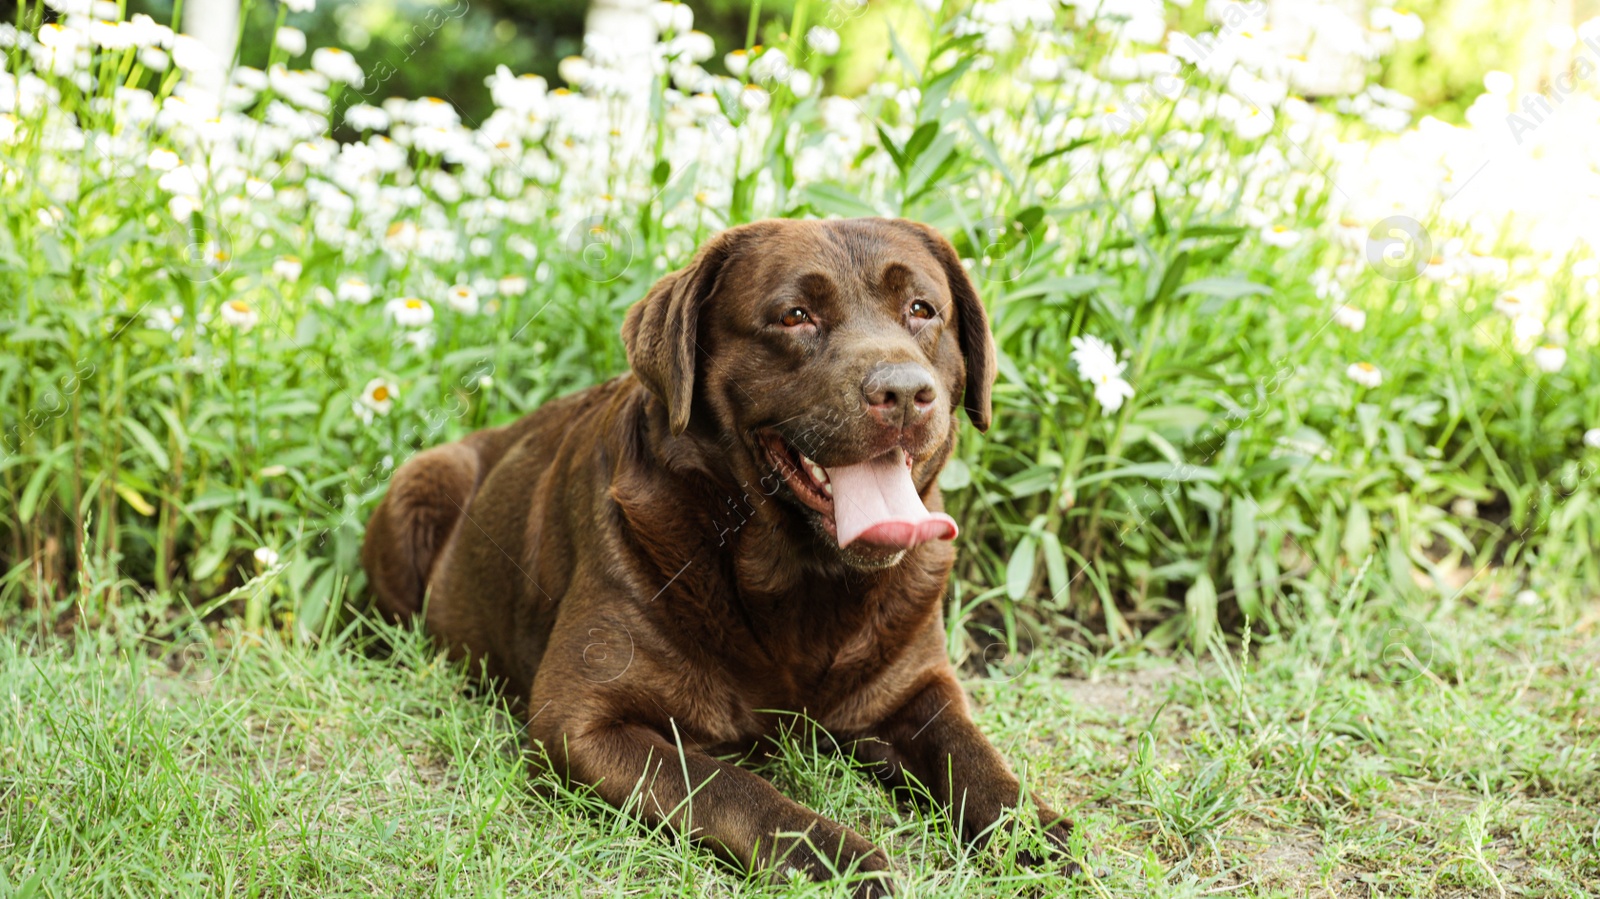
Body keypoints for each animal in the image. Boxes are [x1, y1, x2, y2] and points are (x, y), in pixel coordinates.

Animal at [356, 215, 1068, 889]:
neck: (800, 580)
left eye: (922, 309)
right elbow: (731, 786)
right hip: (418, 485)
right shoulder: (578, 723)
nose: (903, 392)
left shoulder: (920, 686)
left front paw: (1038, 834)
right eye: (795, 315)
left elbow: (977, 760)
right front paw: (839, 858)